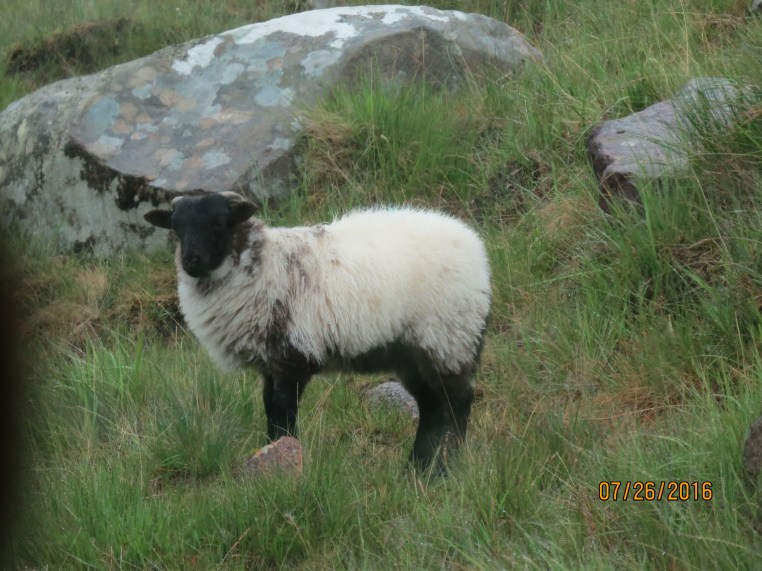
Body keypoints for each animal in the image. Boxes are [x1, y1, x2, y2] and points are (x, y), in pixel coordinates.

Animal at [144, 191, 491, 472]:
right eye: (177, 228)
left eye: (219, 223)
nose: (191, 261)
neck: (263, 265)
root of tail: (475, 246)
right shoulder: (270, 363)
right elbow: (269, 408)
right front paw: (273, 450)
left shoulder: (293, 358)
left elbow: (283, 413)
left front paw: (284, 458)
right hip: (412, 354)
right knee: (432, 407)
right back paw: (417, 468)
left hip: (448, 338)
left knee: (456, 405)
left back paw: (443, 469)